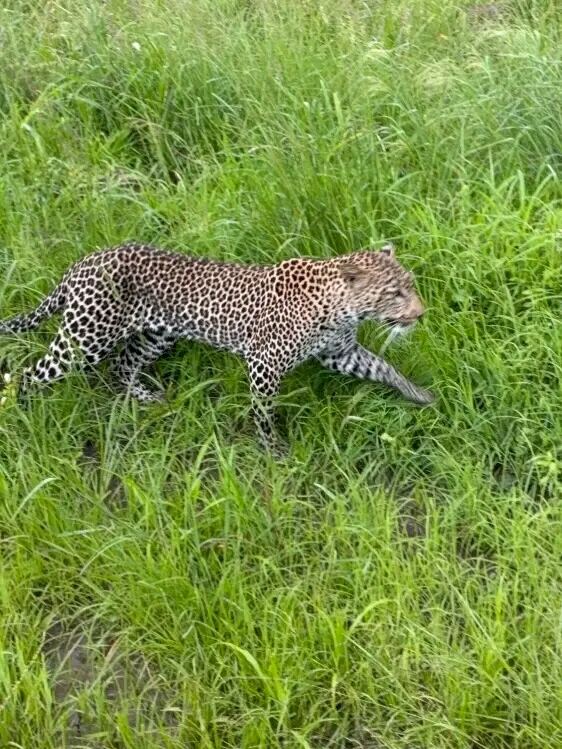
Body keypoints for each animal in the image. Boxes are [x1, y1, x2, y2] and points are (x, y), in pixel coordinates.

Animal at [0, 242, 434, 450]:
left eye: (410, 285)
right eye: (394, 293)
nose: (421, 313)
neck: (342, 309)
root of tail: (81, 263)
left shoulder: (340, 354)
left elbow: (386, 370)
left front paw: (422, 396)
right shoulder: (265, 364)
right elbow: (263, 412)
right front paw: (273, 449)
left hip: (157, 335)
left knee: (121, 367)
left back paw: (150, 399)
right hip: (85, 339)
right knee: (28, 374)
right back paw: (20, 413)